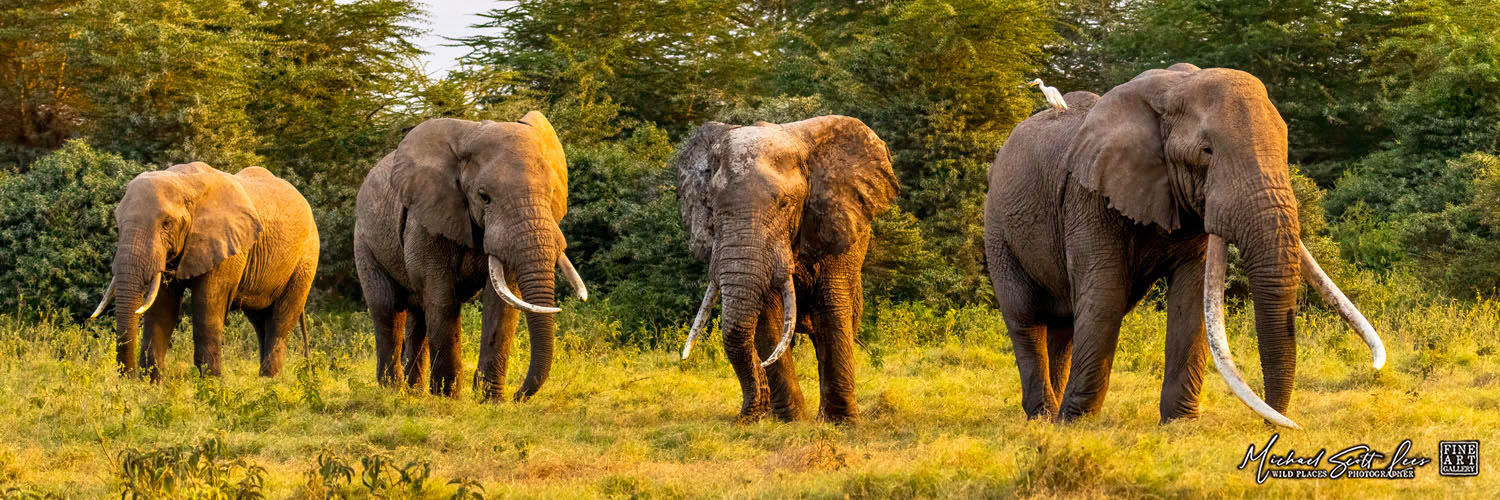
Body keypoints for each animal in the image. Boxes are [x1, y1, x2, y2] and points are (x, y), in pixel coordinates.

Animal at [90, 162, 319, 380]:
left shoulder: (227, 248)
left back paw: (269, 383)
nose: (127, 378)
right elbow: (162, 310)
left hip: (305, 261)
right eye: (118, 225)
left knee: (280, 321)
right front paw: (151, 385)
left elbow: (207, 307)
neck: (184, 181)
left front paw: (210, 385)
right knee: (261, 320)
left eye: (166, 224)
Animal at [354, 112, 588, 400]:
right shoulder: (426, 218)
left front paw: (490, 400)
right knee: (388, 309)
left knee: (417, 316)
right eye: (484, 197)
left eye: (553, 192)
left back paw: (414, 393)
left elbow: (502, 302)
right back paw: (393, 391)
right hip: (364, 241)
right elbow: (442, 297)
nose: (517, 396)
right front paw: (447, 397)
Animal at [675, 115, 898, 423]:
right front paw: (790, 420)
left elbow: (831, 308)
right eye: (711, 207)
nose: (747, 416)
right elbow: (768, 316)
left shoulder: (833, 222)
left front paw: (842, 423)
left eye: (785, 204)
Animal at [983, 63, 1386, 428]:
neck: (1171, 88)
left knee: (1063, 324)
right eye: (1206, 151)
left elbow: (1192, 299)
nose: (1275, 426)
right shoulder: (1089, 194)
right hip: (997, 229)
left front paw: (1179, 425)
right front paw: (1076, 425)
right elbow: (1105, 295)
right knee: (1025, 317)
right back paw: (1044, 418)